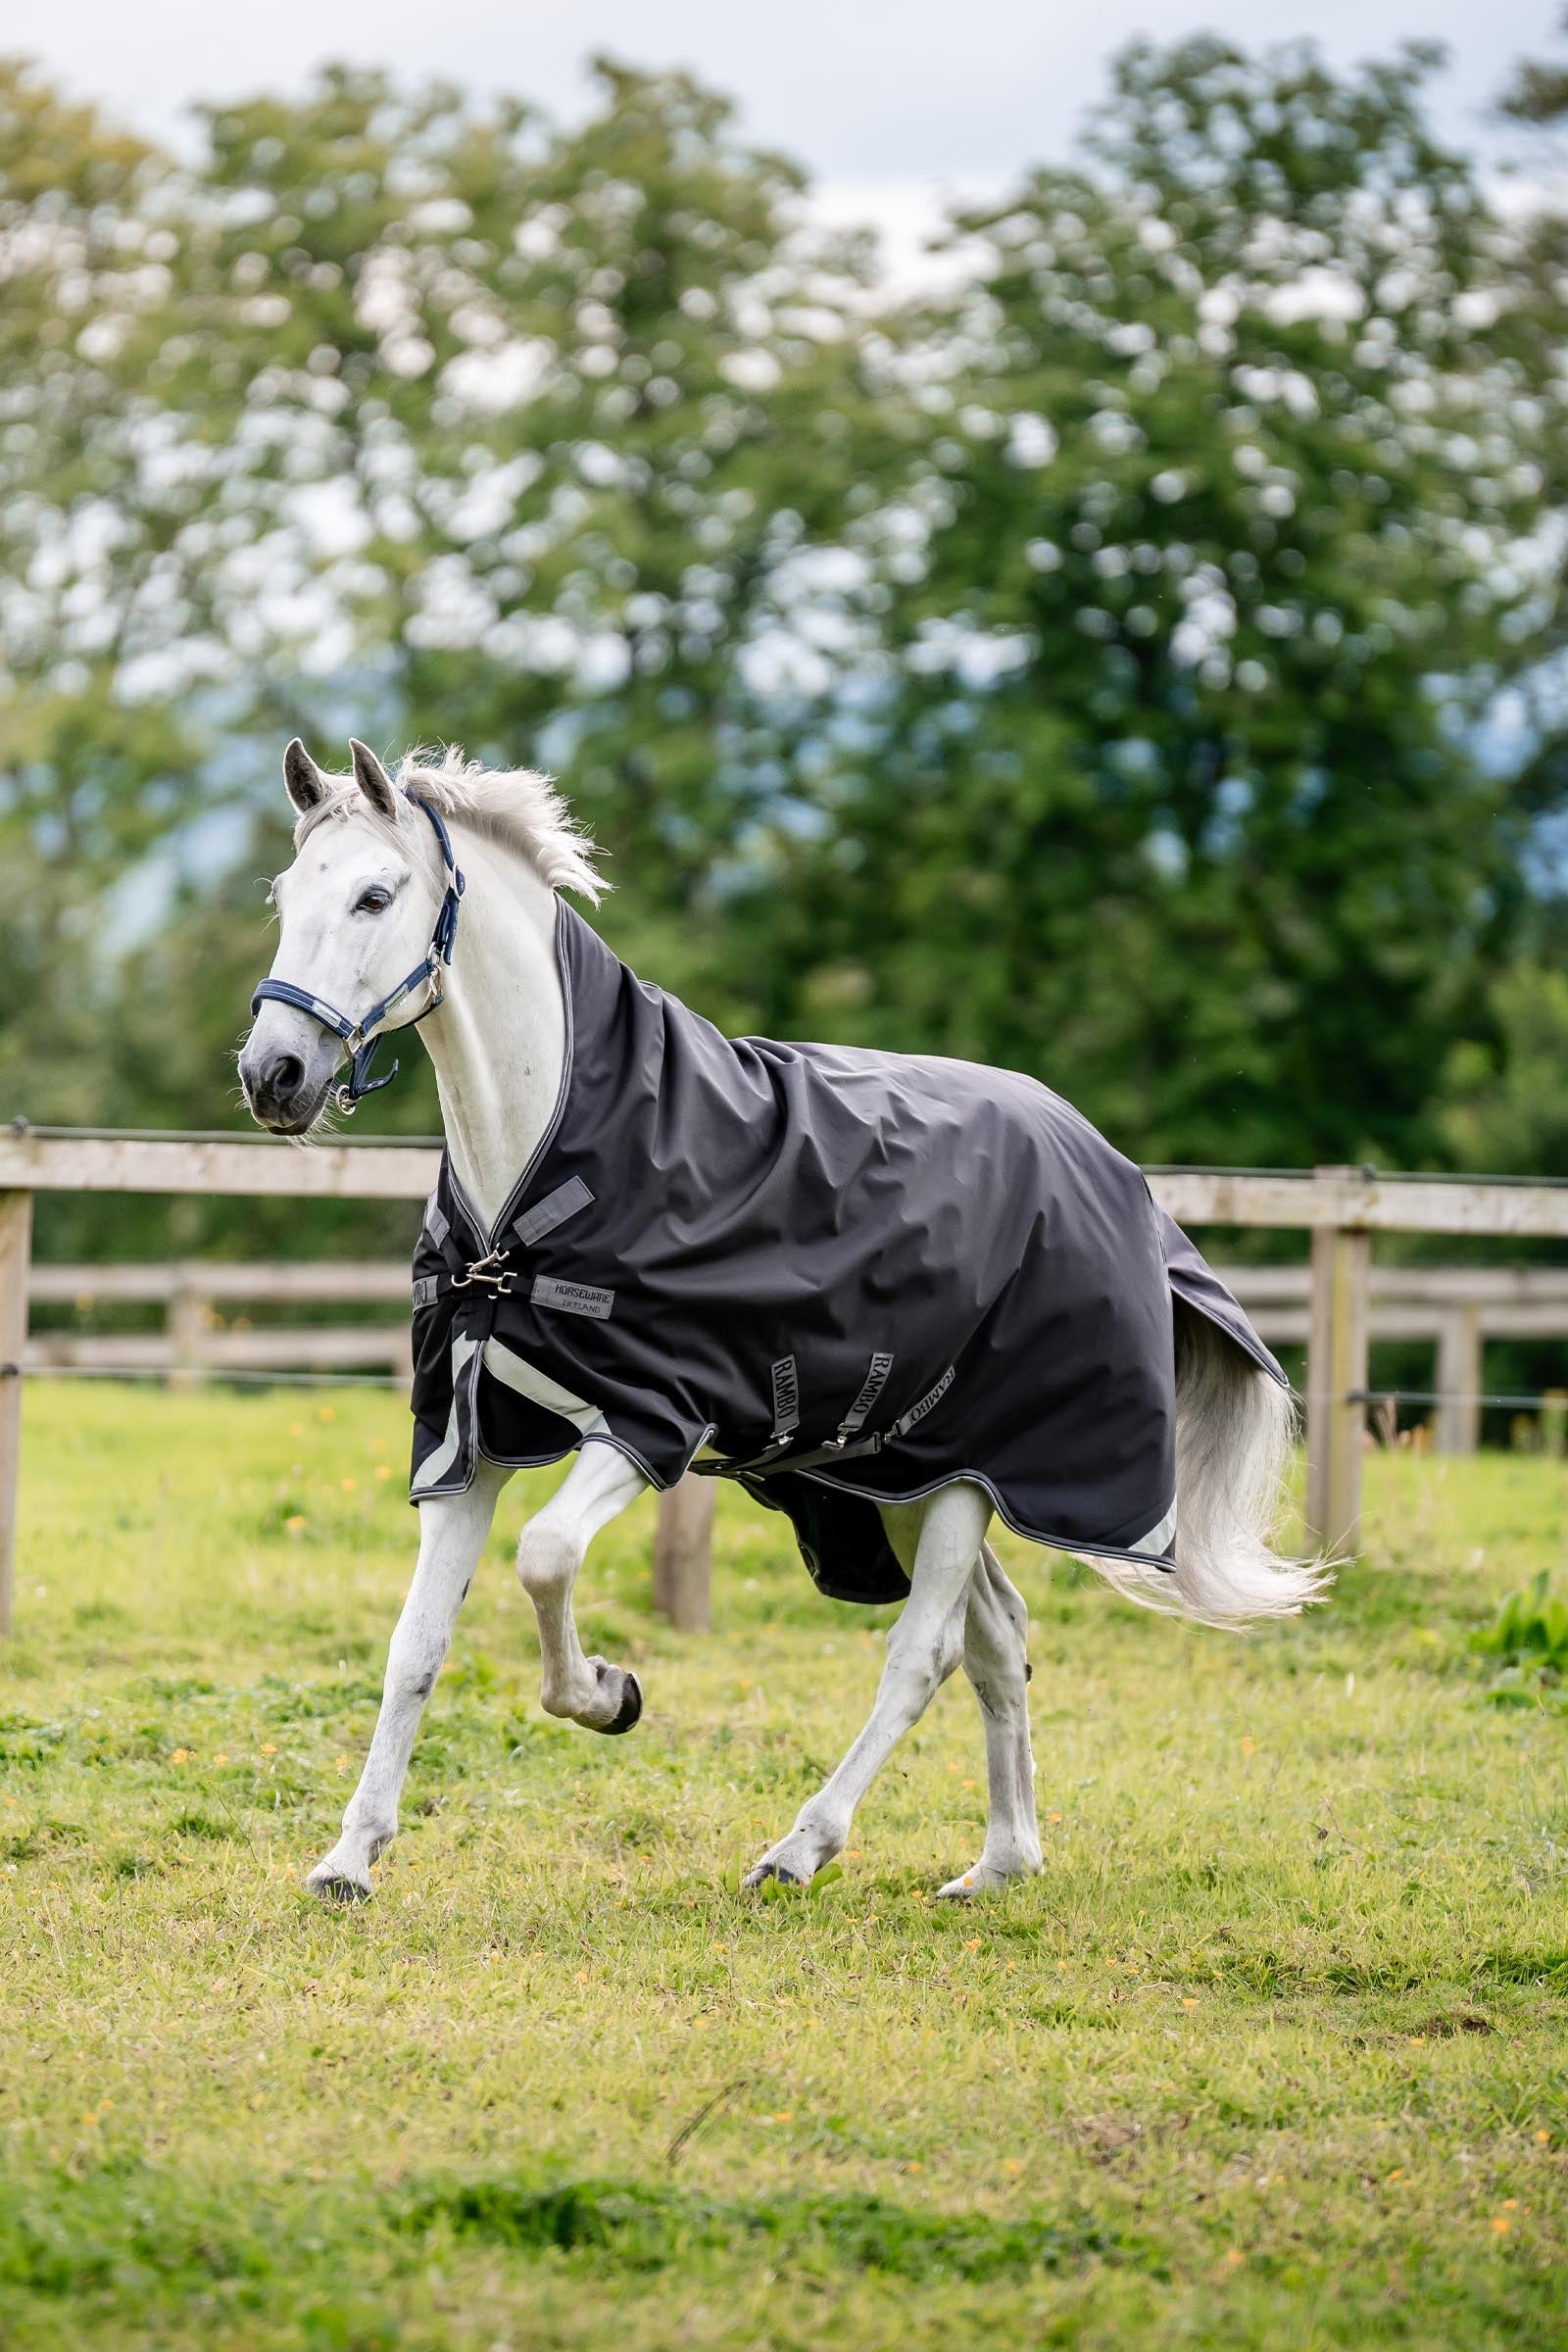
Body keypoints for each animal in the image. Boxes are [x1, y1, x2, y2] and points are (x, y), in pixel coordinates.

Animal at [239, 738, 1326, 1903]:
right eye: (284, 896)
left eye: (375, 895)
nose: (274, 1076)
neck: (541, 1187)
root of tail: (1111, 1167)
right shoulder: (466, 1440)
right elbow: (416, 1644)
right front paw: (350, 1858)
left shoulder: (647, 1422)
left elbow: (545, 1558)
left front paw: (609, 1693)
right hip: (902, 1475)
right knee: (997, 1639)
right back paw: (999, 1865)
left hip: (970, 1476)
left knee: (926, 1654)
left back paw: (801, 1848)